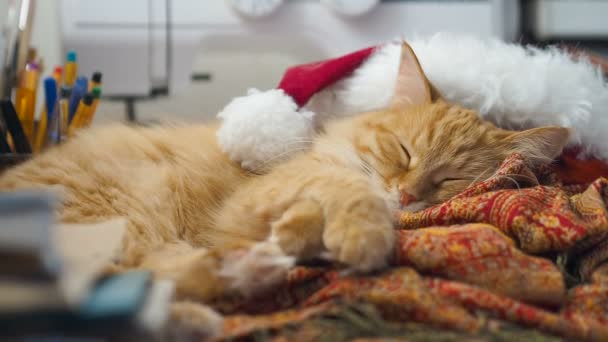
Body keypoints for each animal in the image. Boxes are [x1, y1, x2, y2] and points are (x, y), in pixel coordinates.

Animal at [0, 42, 568, 304]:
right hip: (125, 216)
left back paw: (250, 269)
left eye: (449, 179)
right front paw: (362, 233)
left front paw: (301, 234)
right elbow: (346, 187)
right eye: (403, 152)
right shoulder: (263, 193)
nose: (407, 195)